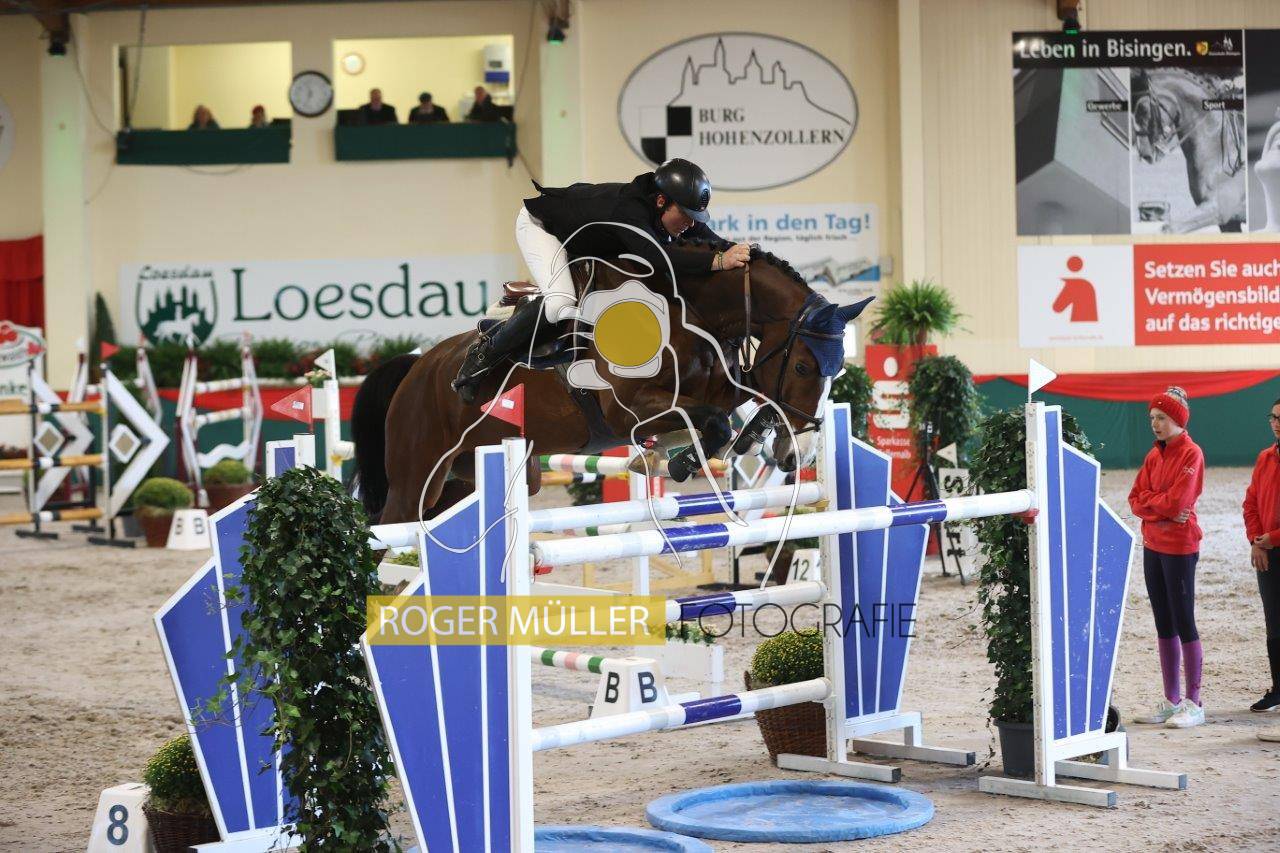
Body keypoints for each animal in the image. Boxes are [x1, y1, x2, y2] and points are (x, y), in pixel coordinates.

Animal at [350, 242, 868, 526]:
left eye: (836, 371)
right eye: (802, 368)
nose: (797, 455)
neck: (689, 313)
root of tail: (417, 366)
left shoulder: (719, 386)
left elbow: (738, 406)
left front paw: (729, 443)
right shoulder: (628, 409)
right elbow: (714, 422)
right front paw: (676, 462)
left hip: (464, 478)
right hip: (418, 474)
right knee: (389, 529)